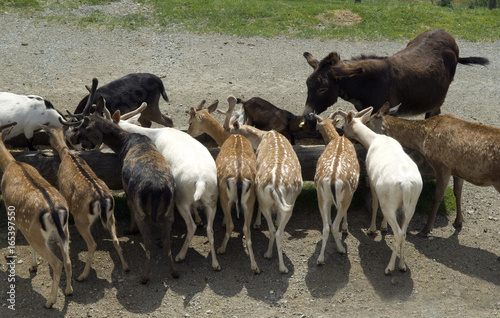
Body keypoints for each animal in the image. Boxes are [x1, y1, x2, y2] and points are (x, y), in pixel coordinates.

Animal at [0, 121, 73, 308]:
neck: (11, 164)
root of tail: (54, 210)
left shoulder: (9, 209)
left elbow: (12, 233)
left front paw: (10, 255)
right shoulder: (28, 227)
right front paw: (33, 266)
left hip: (38, 235)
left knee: (57, 263)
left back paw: (50, 301)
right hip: (64, 230)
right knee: (68, 261)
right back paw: (69, 291)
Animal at [43, 126, 129, 280]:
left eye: (48, 136)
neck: (66, 155)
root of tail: (101, 199)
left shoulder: (62, 191)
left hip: (81, 218)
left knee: (93, 244)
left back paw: (83, 275)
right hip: (111, 215)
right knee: (116, 239)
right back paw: (125, 267)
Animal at [186, 96, 260, 274]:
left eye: (190, 122)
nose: (188, 133)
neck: (226, 137)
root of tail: (239, 176)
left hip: (225, 196)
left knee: (233, 224)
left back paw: (221, 248)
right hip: (250, 198)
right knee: (246, 229)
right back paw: (255, 266)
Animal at [312, 113, 360, 264]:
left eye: (319, 127)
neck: (336, 138)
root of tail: (333, 179)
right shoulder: (351, 193)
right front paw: (345, 228)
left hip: (321, 197)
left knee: (326, 227)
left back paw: (320, 259)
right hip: (346, 196)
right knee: (334, 225)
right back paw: (341, 248)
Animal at [340, 107, 422, 276]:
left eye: (343, 126)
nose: (343, 136)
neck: (374, 140)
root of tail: (406, 185)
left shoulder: (371, 181)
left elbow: (374, 204)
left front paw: (372, 229)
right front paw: (383, 227)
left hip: (389, 204)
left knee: (398, 232)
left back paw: (389, 268)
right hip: (411, 204)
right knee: (404, 232)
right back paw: (402, 265)